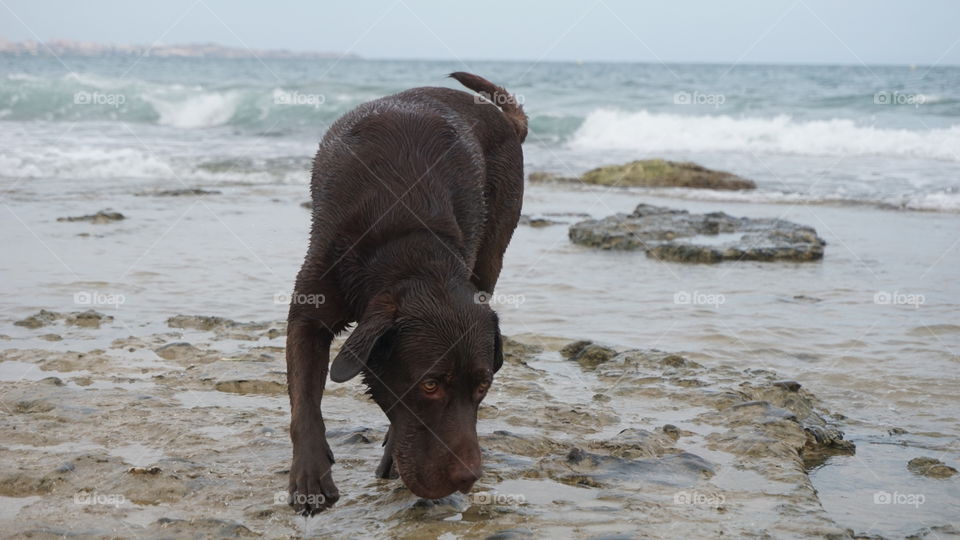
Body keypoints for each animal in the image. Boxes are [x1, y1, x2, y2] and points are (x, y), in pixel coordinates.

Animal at [284, 73, 524, 516]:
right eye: (430, 385)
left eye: (482, 386)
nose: (468, 478)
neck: (406, 241)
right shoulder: (308, 311)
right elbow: (304, 401)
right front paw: (310, 476)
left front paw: (393, 453)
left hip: (492, 250)